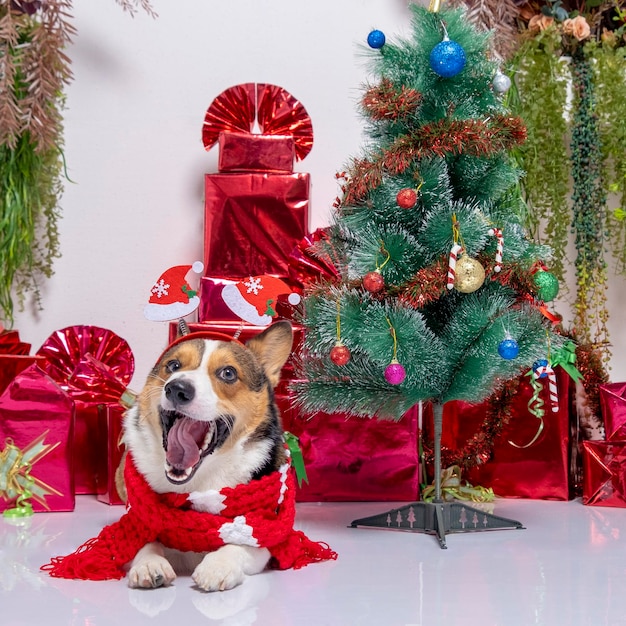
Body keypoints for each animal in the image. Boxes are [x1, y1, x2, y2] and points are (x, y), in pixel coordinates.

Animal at [120, 322, 294, 588]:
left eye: (228, 373)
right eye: (173, 366)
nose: (177, 389)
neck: (196, 485)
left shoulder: (266, 534)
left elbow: (239, 544)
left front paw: (217, 566)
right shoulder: (137, 518)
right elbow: (145, 541)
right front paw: (149, 564)